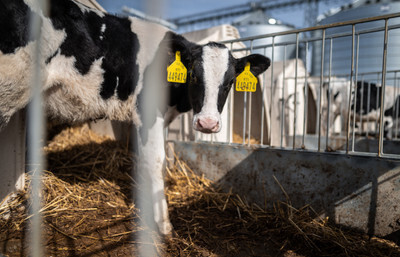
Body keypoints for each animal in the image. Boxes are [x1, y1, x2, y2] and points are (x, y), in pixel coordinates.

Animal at [0, 0, 270, 234]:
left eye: (230, 82)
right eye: (193, 75)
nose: (208, 123)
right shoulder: (149, 113)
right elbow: (157, 161)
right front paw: (164, 226)